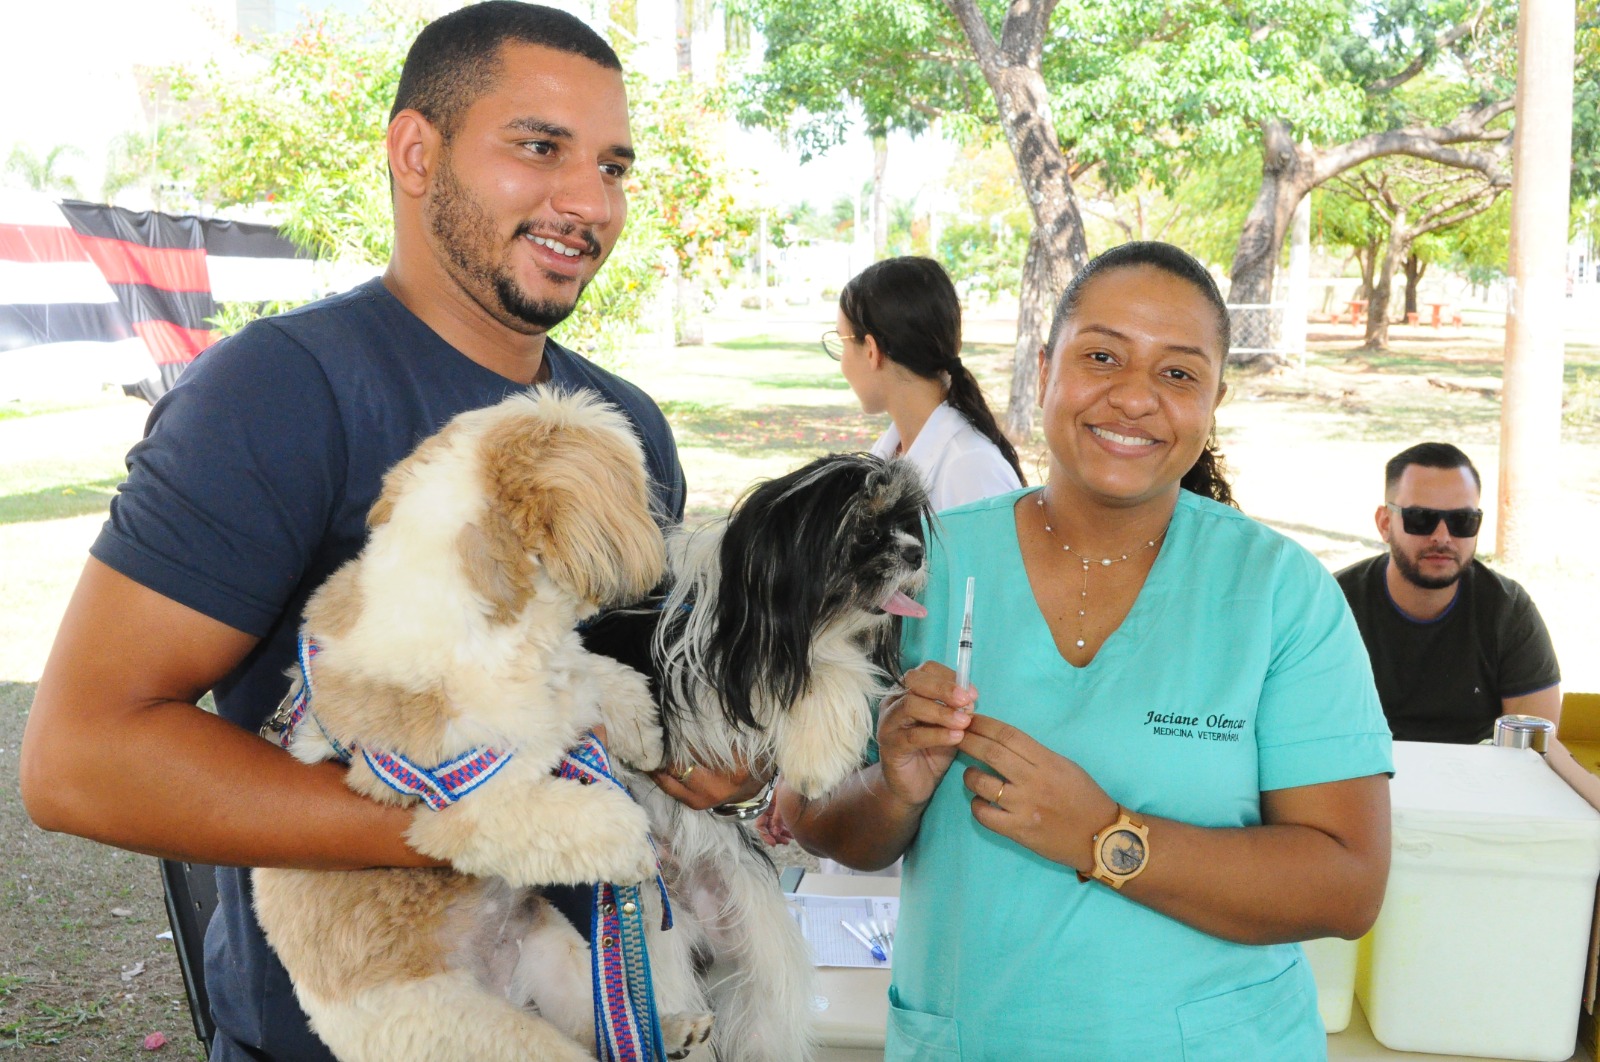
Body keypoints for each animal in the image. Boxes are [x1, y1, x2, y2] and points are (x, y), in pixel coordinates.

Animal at [252, 388, 704, 1062]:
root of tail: (500, 980)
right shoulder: (464, 805)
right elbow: (584, 816)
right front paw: (633, 846)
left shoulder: (564, 685)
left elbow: (601, 677)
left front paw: (641, 733)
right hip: (485, 1033)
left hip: (555, 949)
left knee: (596, 1018)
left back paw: (670, 1030)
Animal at [582, 454, 934, 1062]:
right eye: (865, 532)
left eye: (904, 523)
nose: (915, 553)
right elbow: (825, 671)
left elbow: (832, 670)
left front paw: (814, 757)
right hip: (648, 921)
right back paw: (675, 1029)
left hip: (750, 935)